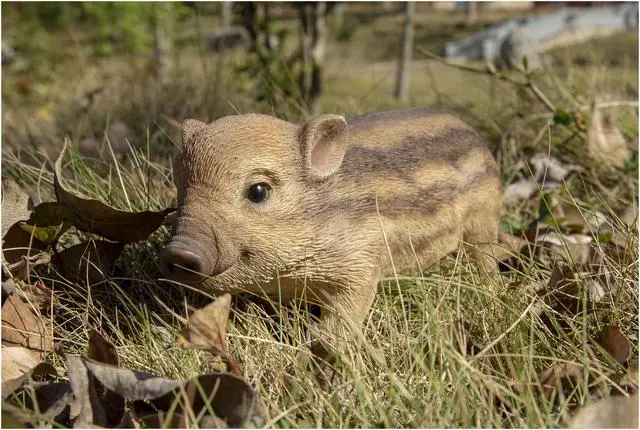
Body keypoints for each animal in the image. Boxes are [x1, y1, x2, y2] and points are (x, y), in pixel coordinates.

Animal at [161, 108, 502, 355]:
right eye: (179, 187)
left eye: (258, 191)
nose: (178, 251)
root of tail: (478, 139)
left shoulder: (361, 266)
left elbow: (341, 320)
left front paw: (321, 349)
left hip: (484, 219)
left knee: (485, 257)